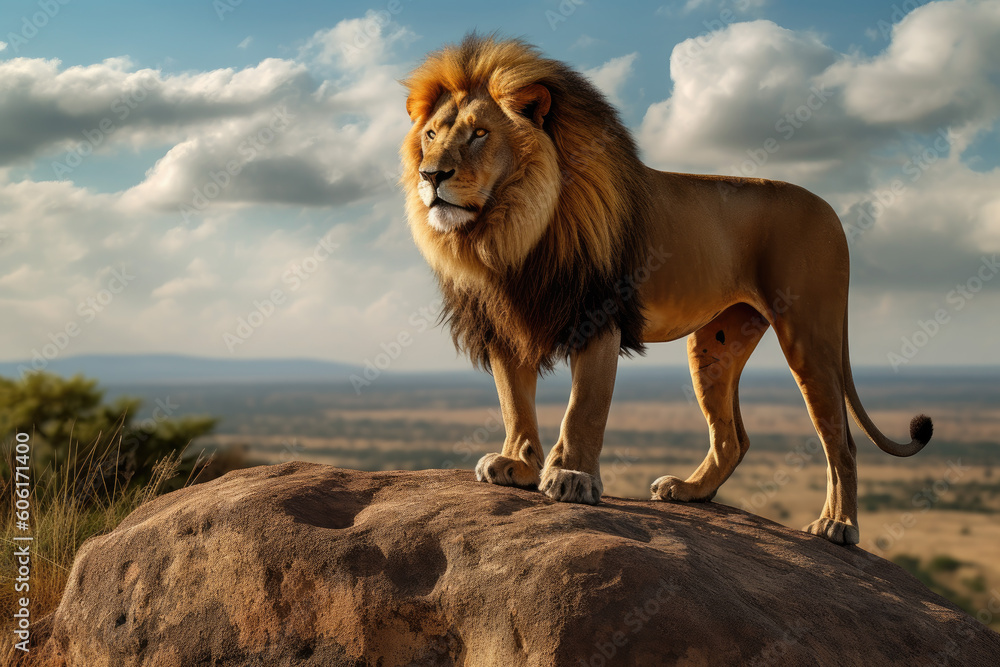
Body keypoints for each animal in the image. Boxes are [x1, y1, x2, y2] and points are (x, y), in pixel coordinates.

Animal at [399, 34, 933, 545]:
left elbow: (584, 407)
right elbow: (514, 404)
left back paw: (837, 526)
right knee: (734, 438)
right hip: (714, 343)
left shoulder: (600, 314)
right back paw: (690, 490)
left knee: (841, 441)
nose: (431, 175)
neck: (510, 232)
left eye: (480, 134)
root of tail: (832, 211)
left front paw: (571, 477)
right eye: (431, 135)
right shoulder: (505, 322)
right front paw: (518, 466)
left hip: (809, 335)